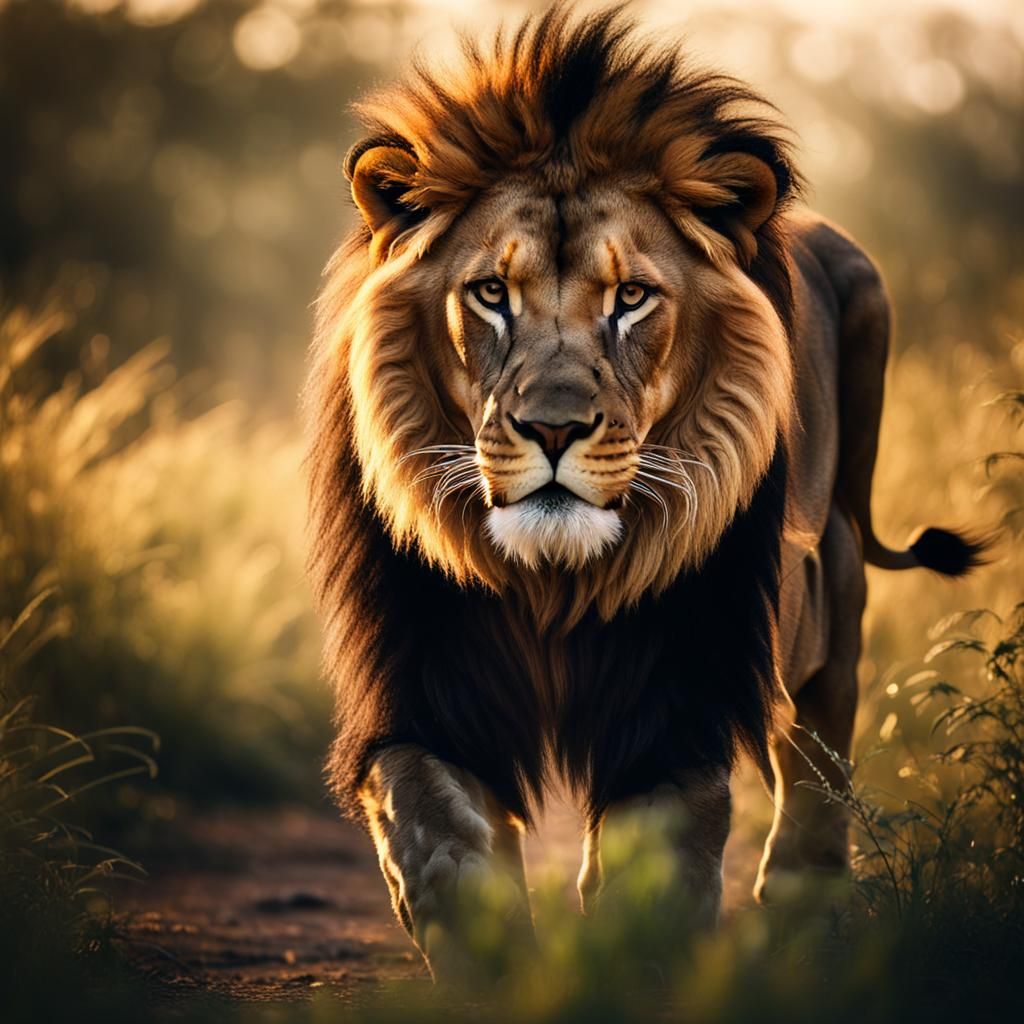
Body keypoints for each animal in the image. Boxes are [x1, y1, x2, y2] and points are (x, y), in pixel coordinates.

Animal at [305, 7, 985, 980]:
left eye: (631, 297)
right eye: (490, 293)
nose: (553, 429)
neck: (551, 581)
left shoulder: (679, 687)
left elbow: (658, 857)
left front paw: (630, 962)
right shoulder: (423, 683)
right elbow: (439, 839)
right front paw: (492, 958)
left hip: (834, 584)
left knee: (818, 762)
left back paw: (800, 914)